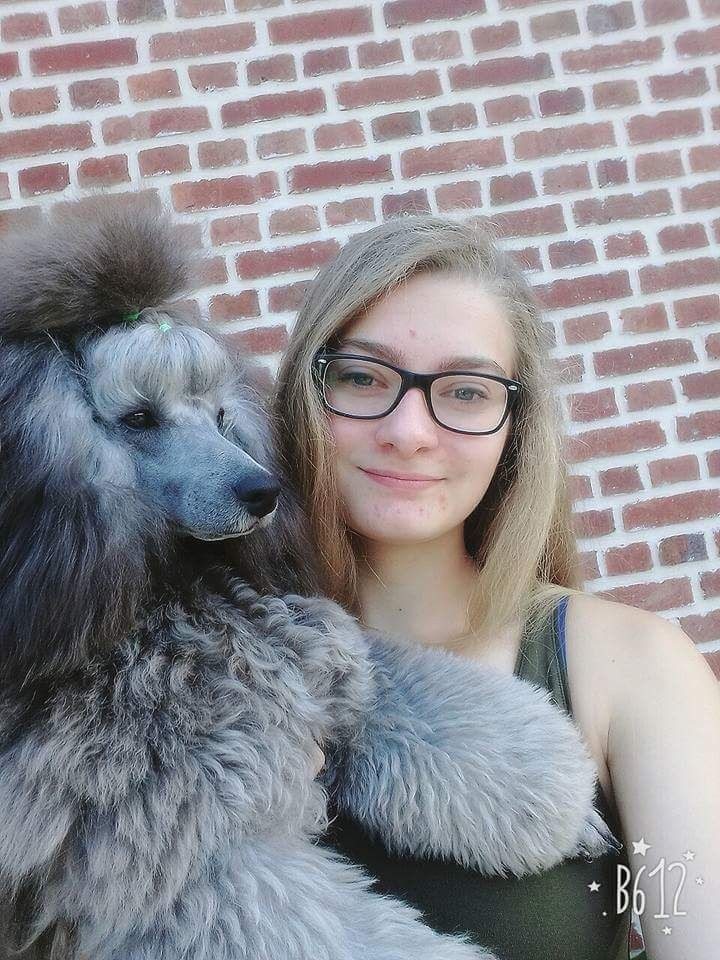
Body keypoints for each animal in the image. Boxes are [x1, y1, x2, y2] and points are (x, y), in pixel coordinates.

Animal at [0, 194, 618, 959]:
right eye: (138, 418)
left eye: (220, 414)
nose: (262, 491)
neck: (162, 595)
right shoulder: (190, 862)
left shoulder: (337, 674)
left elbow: (428, 706)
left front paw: (572, 811)